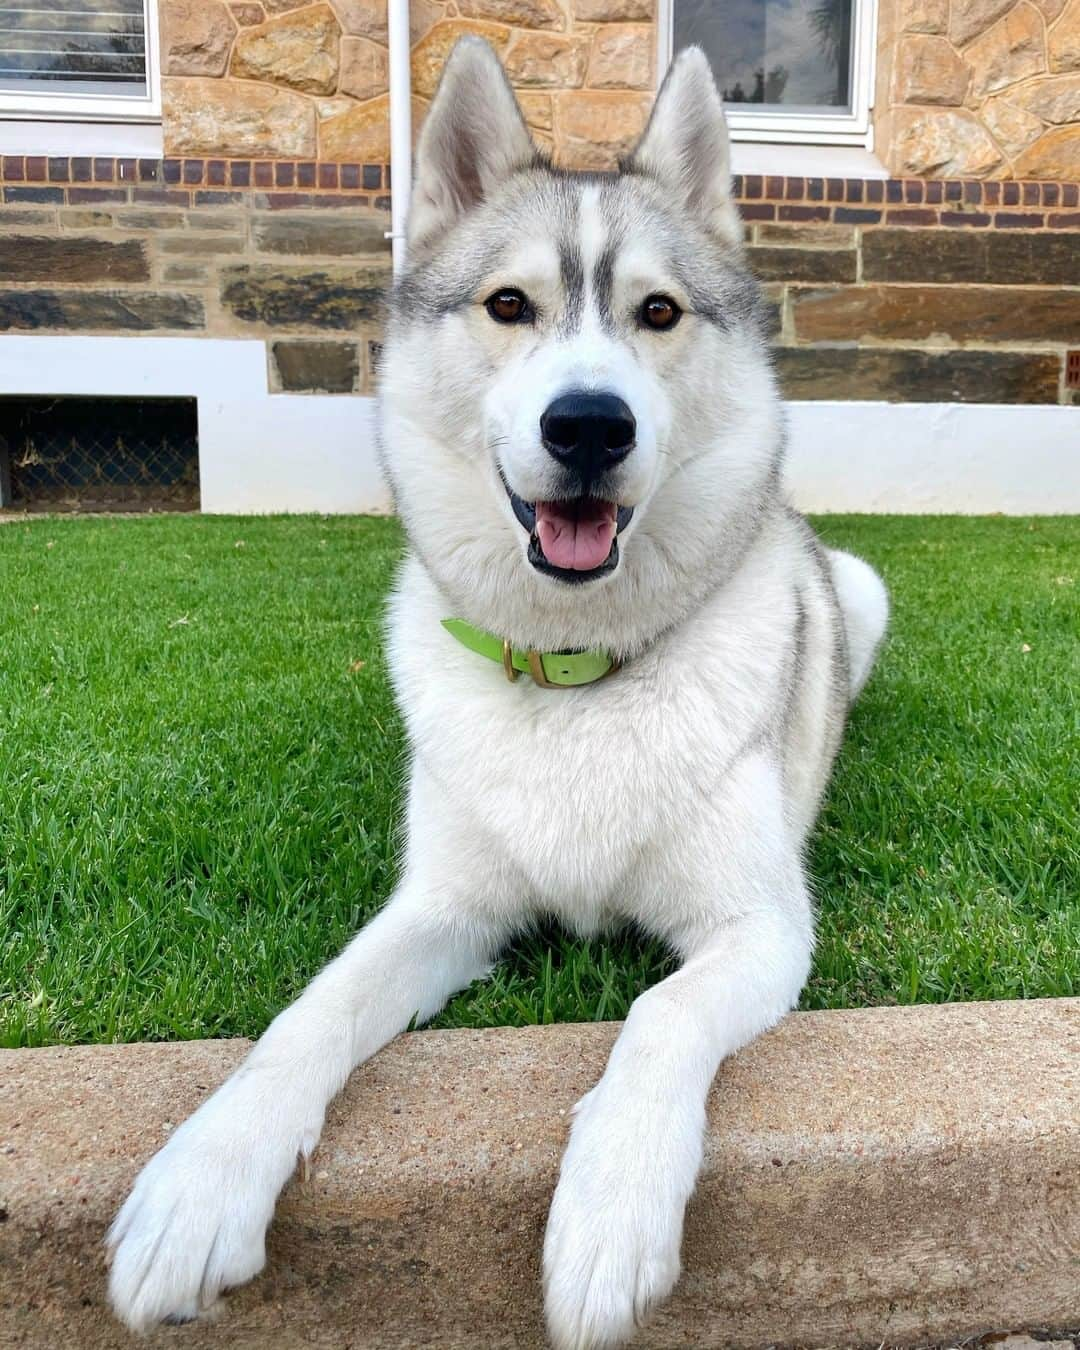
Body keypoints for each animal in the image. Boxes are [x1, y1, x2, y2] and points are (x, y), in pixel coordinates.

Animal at [105, 36, 891, 1344]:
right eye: (509, 305)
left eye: (658, 313)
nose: (588, 425)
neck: (577, 673)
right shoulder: (439, 906)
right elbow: (308, 1013)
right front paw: (201, 1182)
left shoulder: (761, 925)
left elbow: (658, 1015)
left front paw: (612, 1209)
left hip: (862, 595)